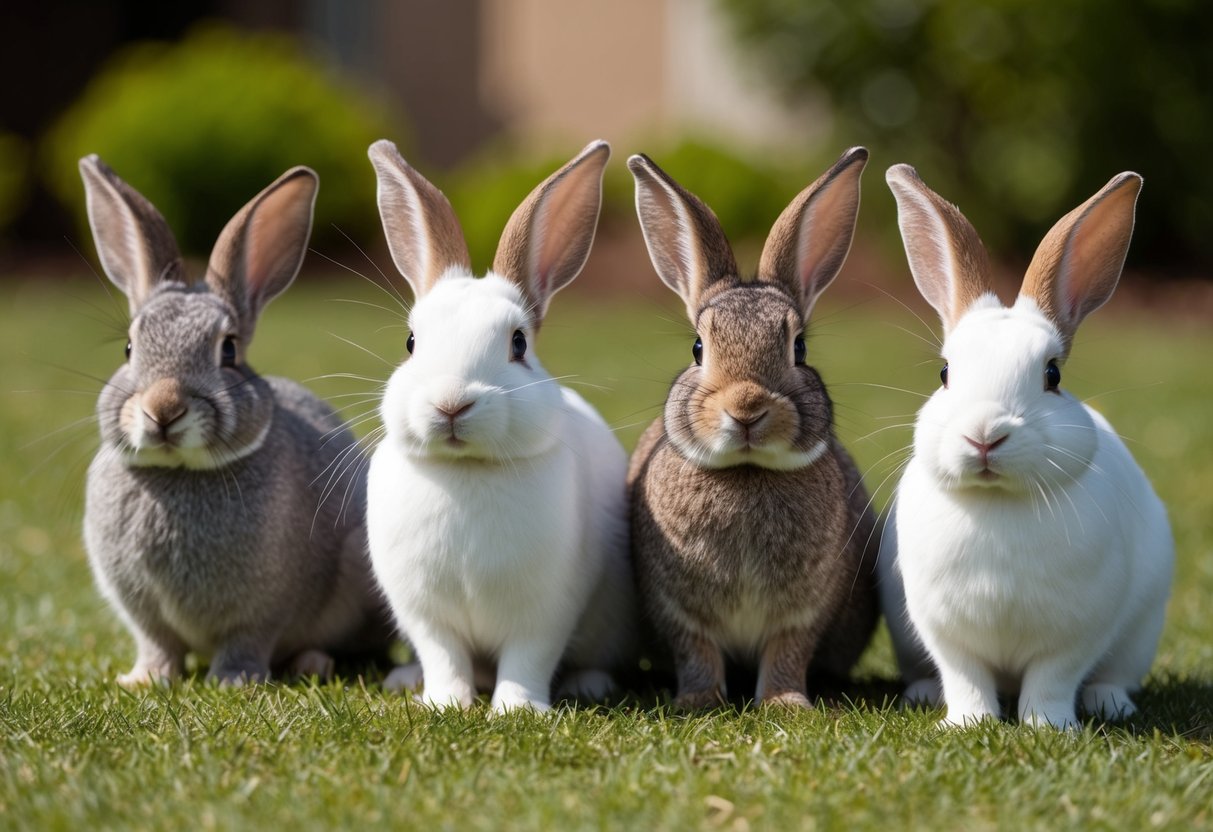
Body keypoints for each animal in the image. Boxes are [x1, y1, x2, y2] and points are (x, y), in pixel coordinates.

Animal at [79, 157, 393, 688]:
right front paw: (144, 679)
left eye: (227, 351)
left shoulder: (262, 610)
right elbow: (157, 644)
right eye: (128, 348)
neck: (180, 473)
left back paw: (312, 663)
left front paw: (234, 680)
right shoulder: (142, 611)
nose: (163, 409)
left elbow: (247, 641)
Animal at [363, 140, 640, 713]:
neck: (468, 471)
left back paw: (588, 684)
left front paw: (518, 709)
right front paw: (445, 703)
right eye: (411, 343)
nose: (451, 404)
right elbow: (444, 658)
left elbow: (528, 660)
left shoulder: (546, 610)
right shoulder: (426, 615)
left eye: (518, 343)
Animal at [625, 146, 883, 708]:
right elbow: (695, 653)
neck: (745, 471)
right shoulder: (676, 610)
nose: (746, 408)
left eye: (799, 348)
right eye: (698, 348)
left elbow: (788, 652)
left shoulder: (805, 611)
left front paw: (787, 704)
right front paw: (697, 701)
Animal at [883, 164, 1174, 727]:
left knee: (1112, 675)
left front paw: (1050, 727)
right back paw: (923, 694)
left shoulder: (1075, 634)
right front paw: (967, 723)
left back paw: (1110, 704)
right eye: (945, 373)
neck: (998, 503)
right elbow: (966, 678)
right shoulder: (944, 632)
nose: (985, 435)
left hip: (1139, 636)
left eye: (1052, 374)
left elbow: (1052, 681)